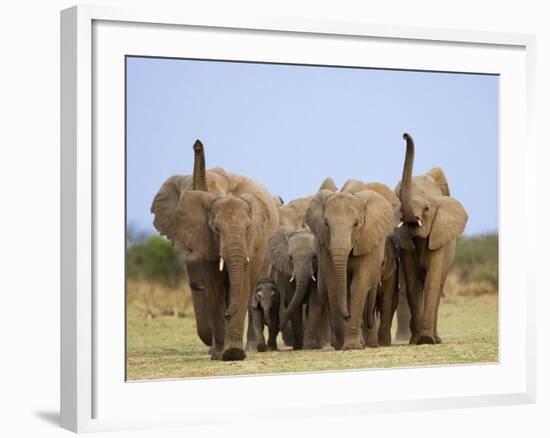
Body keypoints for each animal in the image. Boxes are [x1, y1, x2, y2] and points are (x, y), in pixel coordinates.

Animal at [152, 139, 278, 360]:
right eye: (215, 229)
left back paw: (252, 347)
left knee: (251, 289)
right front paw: (219, 354)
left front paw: (234, 353)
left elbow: (241, 288)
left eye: (248, 229)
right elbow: (213, 290)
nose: (197, 144)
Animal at [308, 181, 398, 350]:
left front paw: (352, 347)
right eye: (326, 224)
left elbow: (358, 285)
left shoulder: (366, 241)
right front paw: (344, 344)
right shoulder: (325, 247)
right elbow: (334, 286)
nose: (347, 315)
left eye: (356, 224)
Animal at [396, 132, 470, 344]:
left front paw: (427, 340)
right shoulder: (405, 243)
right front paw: (416, 341)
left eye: (427, 209)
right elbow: (413, 284)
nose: (404, 135)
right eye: (398, 201)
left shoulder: (439, 237)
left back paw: (436, 339)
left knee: (439, 285)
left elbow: (432, 282)